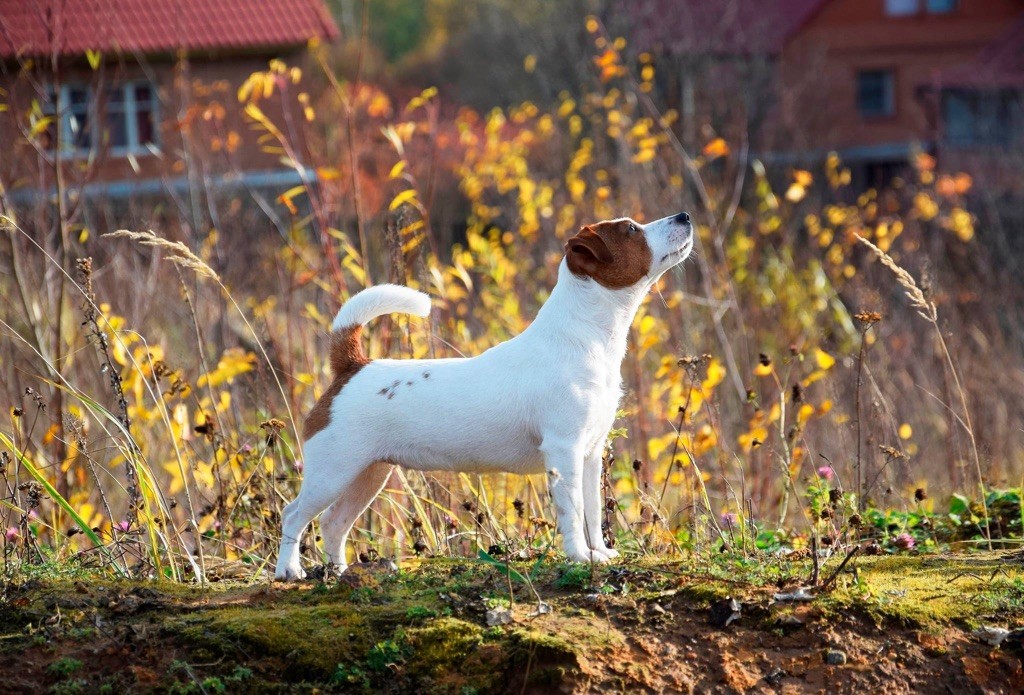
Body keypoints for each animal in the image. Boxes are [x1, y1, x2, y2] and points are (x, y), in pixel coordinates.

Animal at [276, 211, 696, 581]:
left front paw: (600, 552)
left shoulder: (590, 454)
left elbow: (591, 510)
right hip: (333, 471)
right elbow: (573, 511)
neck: (583, 338)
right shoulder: (565, 451)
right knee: (294, 514)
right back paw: (289, 571)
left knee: (333, 523)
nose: (684, 216)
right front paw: (580, 556)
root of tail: (352, 366)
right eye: (630, 229)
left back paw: (339, 572)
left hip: (368, 473)